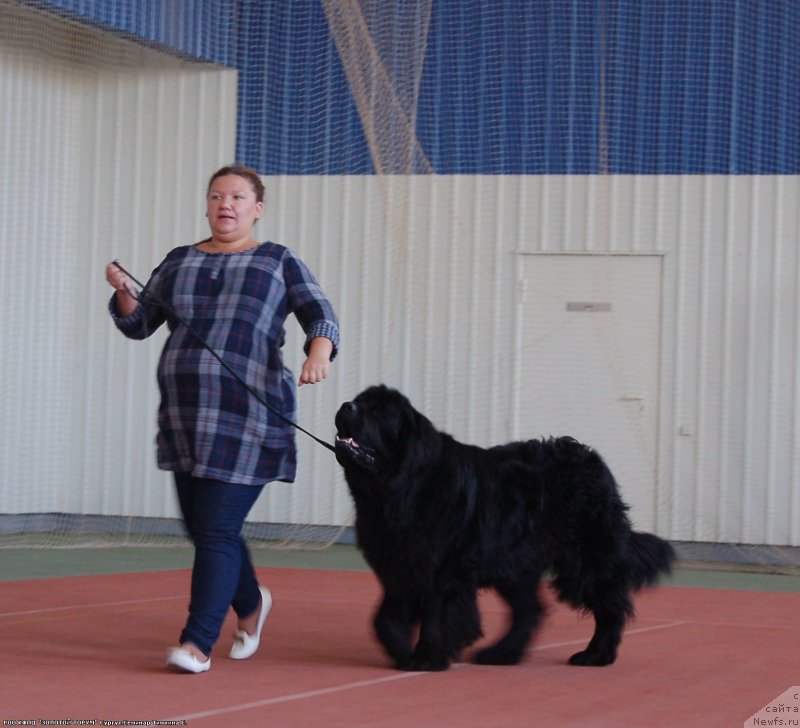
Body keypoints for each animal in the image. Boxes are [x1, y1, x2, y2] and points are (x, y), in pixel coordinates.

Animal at [332, 386, 676, 672]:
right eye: (360, 400)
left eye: (379, 412)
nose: (347, 406)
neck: (397, 490)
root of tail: (593, 460)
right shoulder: (400, 566)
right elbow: (384, 620)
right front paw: (404, 654)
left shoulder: (441, 571)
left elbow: (435, 616)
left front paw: (427, 658)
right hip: (515, 564)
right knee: (530, 611)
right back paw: (501, 654)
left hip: (585, 557)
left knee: (609, 605)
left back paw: (596, 655)